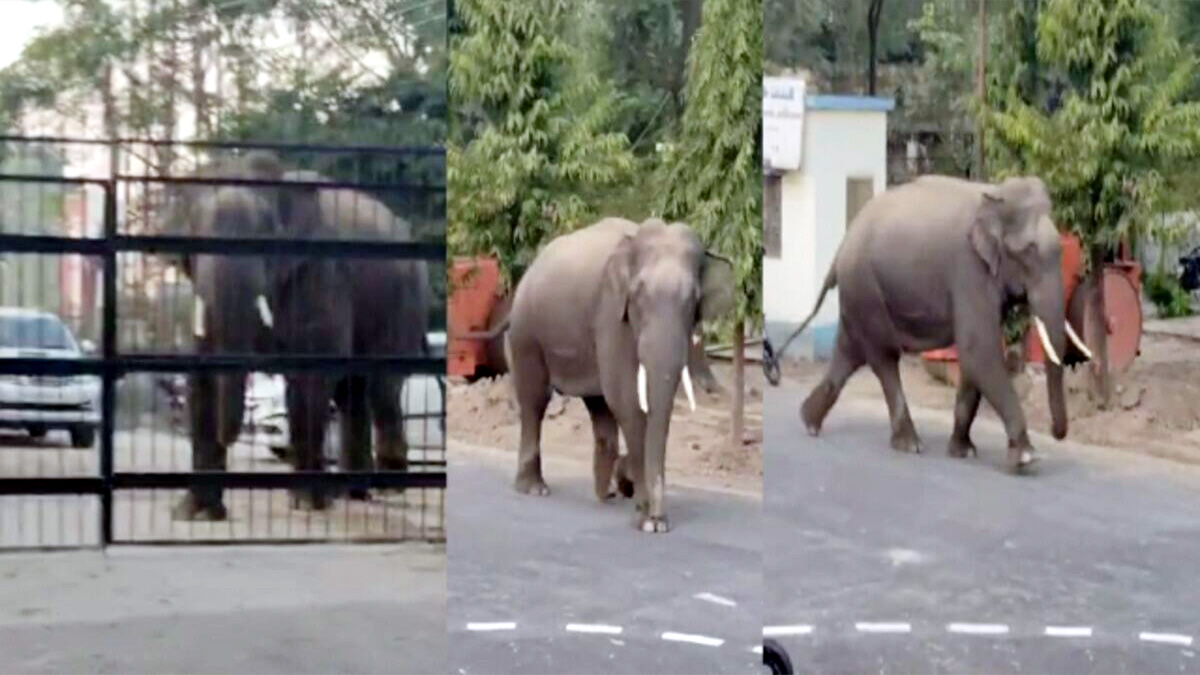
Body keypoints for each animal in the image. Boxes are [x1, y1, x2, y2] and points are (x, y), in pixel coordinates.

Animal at [164, 151, 432, 521]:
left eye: (265, 239)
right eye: (194, 236)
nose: (231, 438)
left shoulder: (321, 274)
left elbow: (309, 377)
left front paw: (306, 504)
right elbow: (201, 378)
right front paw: (196, 514)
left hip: (404, 301)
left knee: (381, 388)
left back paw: (386, 488)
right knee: (352, 392)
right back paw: (351, 493)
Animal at [494, 214, 729, 530]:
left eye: (693, 300)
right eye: (638, 295)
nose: (657, 517)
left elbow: (625, 399)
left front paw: (638, 497)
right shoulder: (611, 312)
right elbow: (626, 397)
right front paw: (647, 521)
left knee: (600, 407)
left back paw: (605, 494)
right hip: (526, 333)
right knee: (534, 400)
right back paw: (534, 489)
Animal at [772, 172, 1094, 470]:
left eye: (1062, 251)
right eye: (1028, 251)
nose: (1056, 433)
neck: (995, 195)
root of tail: (842, 244)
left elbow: (975, 357)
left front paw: (963, 452)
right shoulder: (968, 270)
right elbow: (979, 349)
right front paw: (1027, 457)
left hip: (859, 294)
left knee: (849, 353)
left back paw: (809, 421)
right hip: (866, 288)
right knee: (883, 358)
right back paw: (909, 444)